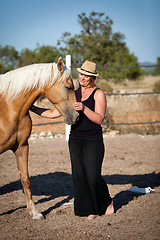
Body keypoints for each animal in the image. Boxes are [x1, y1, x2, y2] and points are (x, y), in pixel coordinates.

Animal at [0, 56, 79, 219]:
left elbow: (25, 179)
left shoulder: (21, 147)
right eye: (68, 87)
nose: (77, 116)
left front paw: (34, 212)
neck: (7, 108)